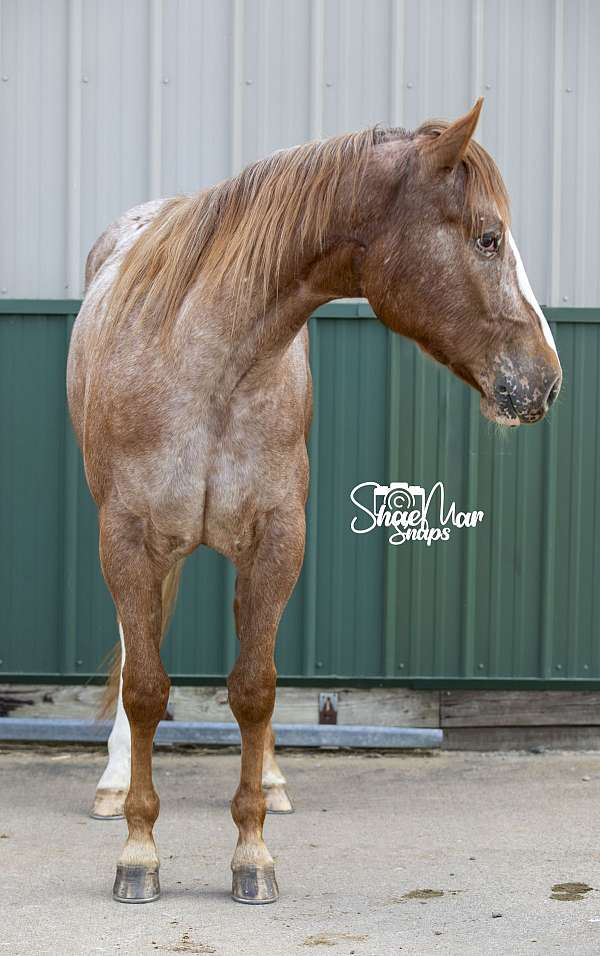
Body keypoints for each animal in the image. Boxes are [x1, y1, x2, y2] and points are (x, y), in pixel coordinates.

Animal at [67, 101, 564, 908]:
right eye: (488, 238)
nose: (545, 380)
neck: (204, 361)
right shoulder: (128, 538)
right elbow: (143, 687)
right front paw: (138, 852)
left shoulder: (278, 539)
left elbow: (256, 689)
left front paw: (252, 851)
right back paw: (113, 782)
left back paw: (271, 777)